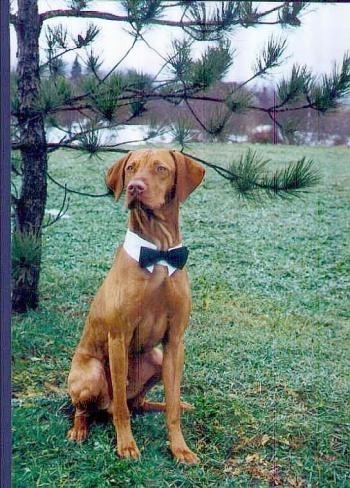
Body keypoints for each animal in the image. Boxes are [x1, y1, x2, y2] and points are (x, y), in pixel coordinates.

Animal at [66, 147, 205, 464]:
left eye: (161, 169)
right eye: (131, 168)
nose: (134, 187)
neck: (159, 254)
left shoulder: (175, 342)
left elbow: (172, 407)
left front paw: (180, 448)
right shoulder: (118, 338)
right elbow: (121, 409)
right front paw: (126, 445)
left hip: (156, 359)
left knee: (139, 403)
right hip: (91, 372)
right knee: (91, 408)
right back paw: (79, 430)